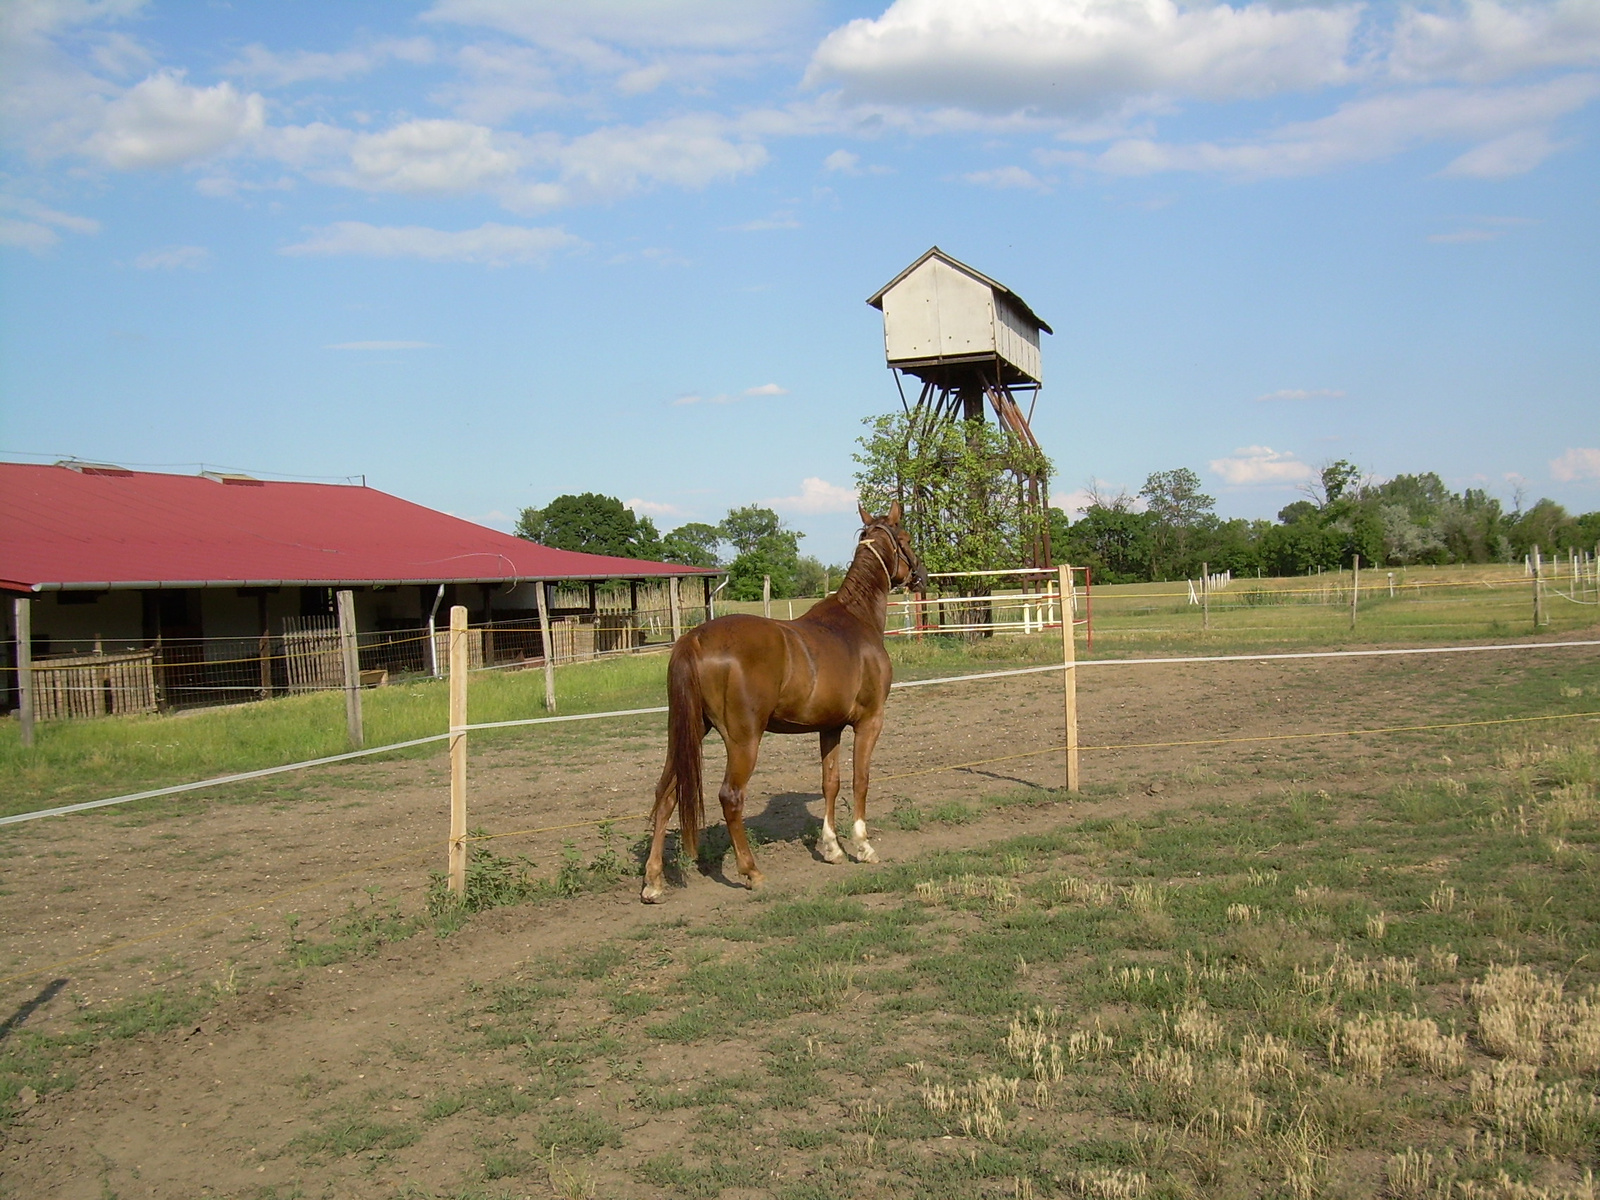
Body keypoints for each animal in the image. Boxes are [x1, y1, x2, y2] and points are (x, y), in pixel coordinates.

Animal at [643, 502, 934, 908]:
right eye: (904, 538)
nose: (921, 575)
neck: (856, 621)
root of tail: (695, 638)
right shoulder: (870, 721)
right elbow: (860, 780)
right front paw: (863, 846)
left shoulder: (830, 726)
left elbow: (831, 783)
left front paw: (832, 849)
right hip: (743, 740)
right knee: (730, 797)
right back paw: (752, 872)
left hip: (688, 733)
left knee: (666, 794)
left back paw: (653, 881)